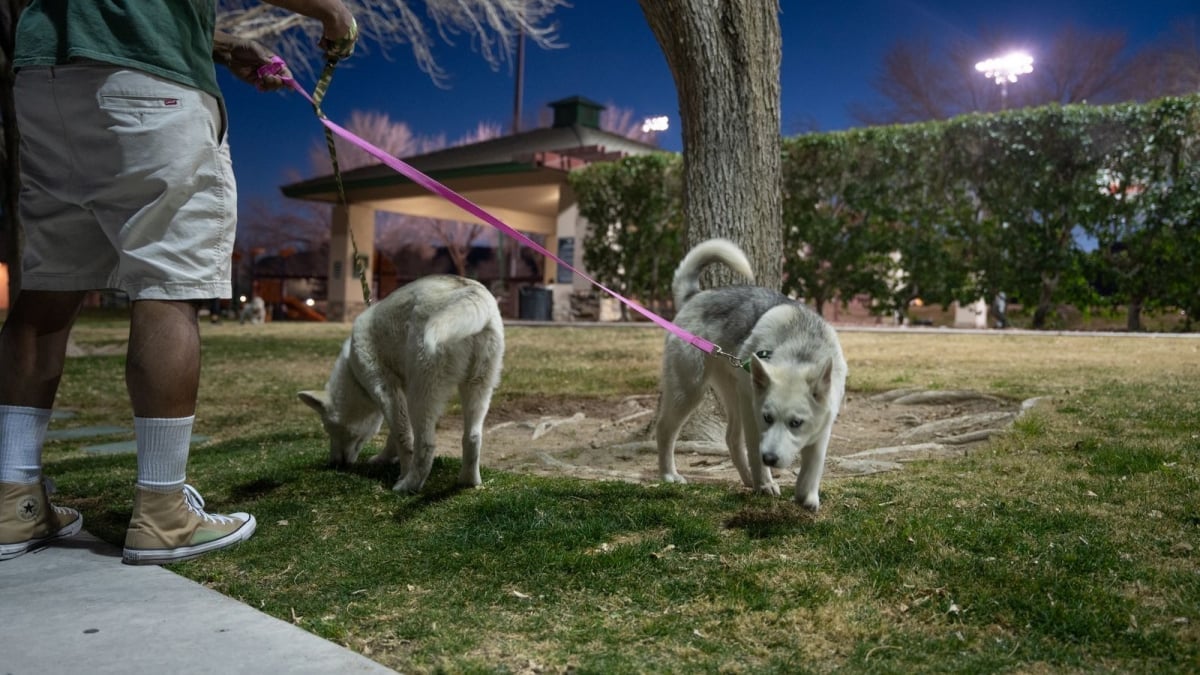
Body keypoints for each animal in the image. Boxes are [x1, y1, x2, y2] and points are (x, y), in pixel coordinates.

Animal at [304, 275, 506, 494]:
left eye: (329, 429)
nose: (333, 464)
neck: (354, 374)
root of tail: (471, 291)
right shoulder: (400, 393)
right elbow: (395, 435)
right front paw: (385, 459)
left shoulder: (385, 390)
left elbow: (402, 436)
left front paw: (402, 471)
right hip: (477, 388)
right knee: (472, 437)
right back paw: (468, 482)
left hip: (422, 396)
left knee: (426, 446)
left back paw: (409, 485)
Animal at [657, 239, 844, 506]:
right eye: (768, 418)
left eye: (796, 423)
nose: (770, 459)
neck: (800, 348)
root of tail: (696, 295)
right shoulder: (753, 412)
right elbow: (755, 449)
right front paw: (764, 483)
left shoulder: (824, 423)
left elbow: (814, 463)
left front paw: (807, 495)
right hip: (690, 390)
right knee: (665, 430)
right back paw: (668, 475)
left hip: (731, 395)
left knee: (731, 438)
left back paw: (747, 478)